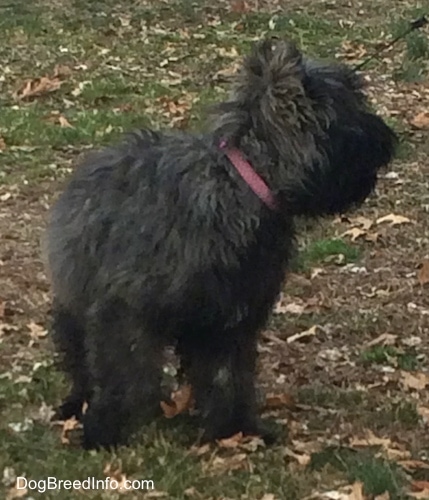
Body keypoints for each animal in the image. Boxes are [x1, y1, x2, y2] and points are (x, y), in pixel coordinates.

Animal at [45, 37, 396, 448]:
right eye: (351, 108)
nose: (389, 140)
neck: (241, 183)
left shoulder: (230, 318)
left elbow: (227, 378)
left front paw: (237, 429)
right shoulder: (123, 312)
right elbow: (119, 376)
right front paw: (104, 428)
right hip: (75, 301)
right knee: (82, 361)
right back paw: (77, 402)